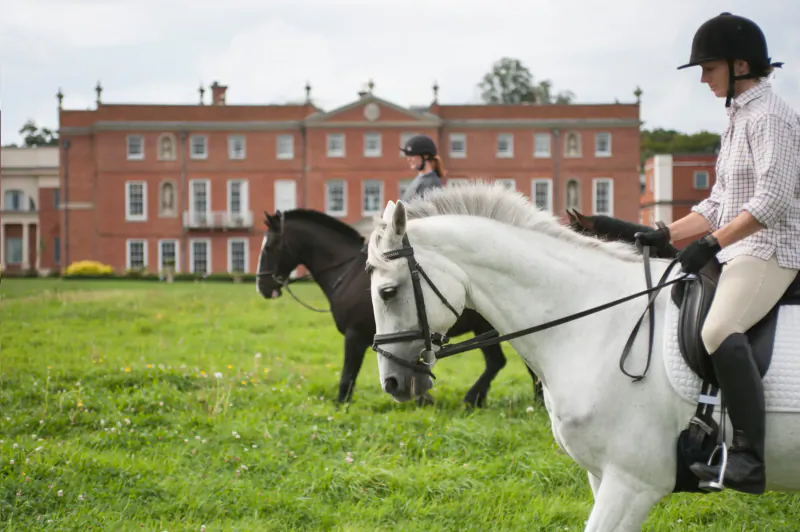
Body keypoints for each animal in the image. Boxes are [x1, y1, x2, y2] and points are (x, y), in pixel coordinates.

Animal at [255, 208, 542, 407]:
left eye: (269, 246)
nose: (262, 286)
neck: (346, 272)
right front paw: (424, 400)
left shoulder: (355, 336)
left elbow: (348, 375)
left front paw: (340, 405)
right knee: (501, 362)